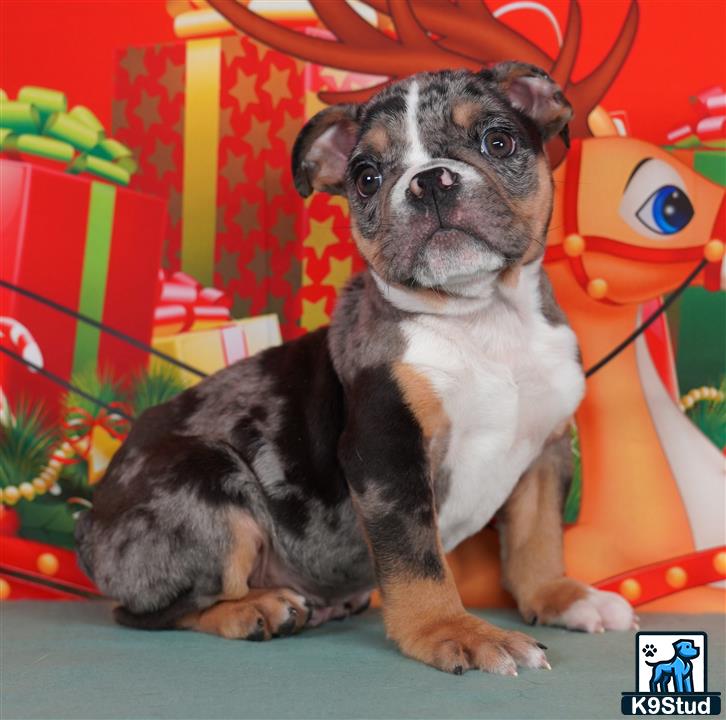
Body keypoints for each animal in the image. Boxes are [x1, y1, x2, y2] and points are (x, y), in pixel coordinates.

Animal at [77, 62, 640, 676]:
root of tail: (91, 522)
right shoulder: (387, 450)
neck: (484, 318)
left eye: (499, 141)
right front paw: (451, 630)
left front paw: (559, 596)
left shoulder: (545, 452)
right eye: (367, 177)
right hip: (206, 481)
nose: (431, 180)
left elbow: (538, 540)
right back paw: (256, 608)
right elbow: (418, 559)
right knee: (157, 610)